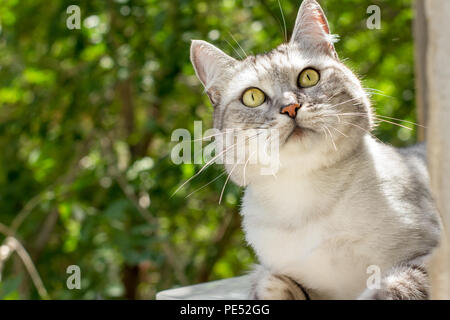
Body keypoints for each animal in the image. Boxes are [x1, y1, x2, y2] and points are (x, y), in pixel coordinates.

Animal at [188, 0, 442, 300]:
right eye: (253, 96)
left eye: (308, 77)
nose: (290, 107)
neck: (308, 201)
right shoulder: (274, 274)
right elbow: (271, 285)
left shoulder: (431, 254)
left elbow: (388, 289)